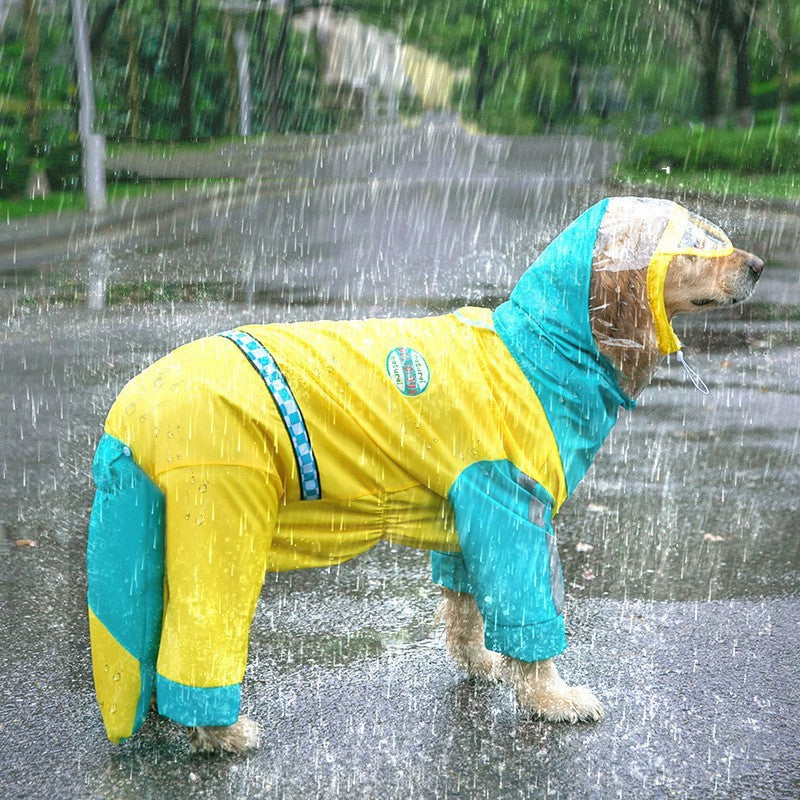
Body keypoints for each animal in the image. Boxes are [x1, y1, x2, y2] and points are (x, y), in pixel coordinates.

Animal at [86, 197, 764, 752]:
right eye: (696, 242)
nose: (759, 265)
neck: (542, 349)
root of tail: (131, 409)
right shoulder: (509, 502)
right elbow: (526, 607)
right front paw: (552, 699)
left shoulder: (464, 507)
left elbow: (467, 606)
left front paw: (482, 665)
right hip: (221, 511)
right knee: (197, 632)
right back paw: (221, 734)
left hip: (157, 524)